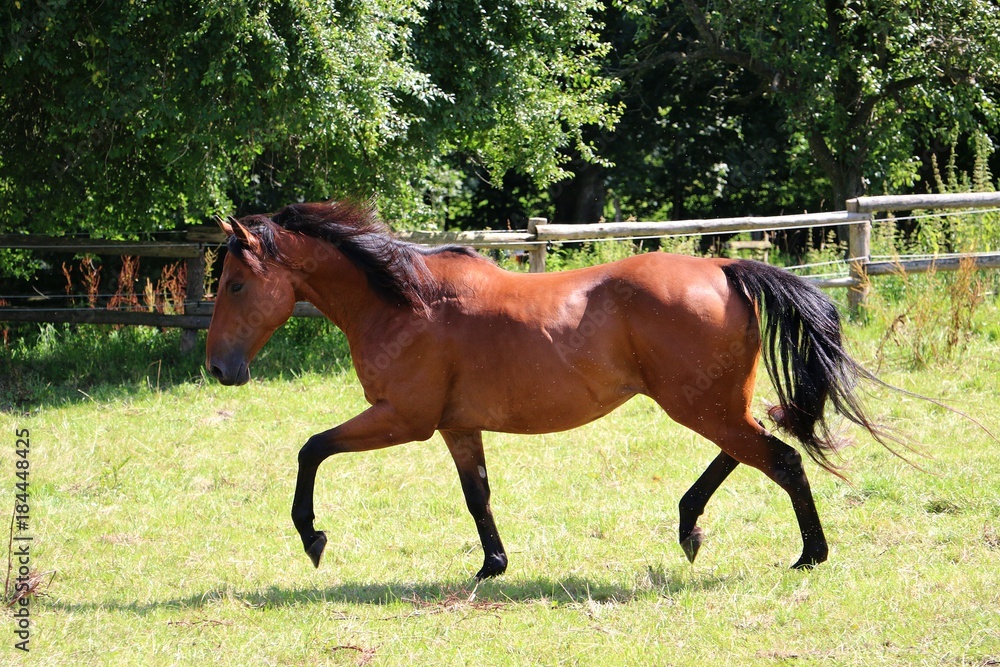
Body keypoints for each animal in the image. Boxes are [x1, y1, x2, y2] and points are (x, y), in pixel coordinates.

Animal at [205, 200, 890, 578]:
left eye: (236, 283)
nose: (219, 369)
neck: (406, 302)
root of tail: (725, 267)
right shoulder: (456, 426)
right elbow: (477, 496)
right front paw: (492, 566)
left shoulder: (402, 418)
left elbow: (311, 448)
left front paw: (312, 537)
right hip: (715, 403)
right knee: (754, 448)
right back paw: (690, 527)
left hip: (700, 405)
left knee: (780, 458)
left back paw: (808, 555)